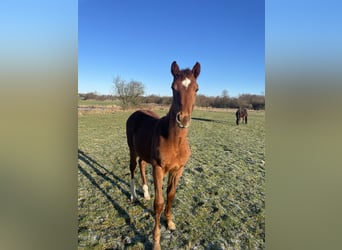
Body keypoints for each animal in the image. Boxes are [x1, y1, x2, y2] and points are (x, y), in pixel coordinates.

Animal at [125, 61, 200, 250]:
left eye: (196, 88)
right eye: (173, 87)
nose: (183, 119)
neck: (174, 141)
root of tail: (136, 112)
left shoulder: (178, 169)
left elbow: (171, 195)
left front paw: (170, 222)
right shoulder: (158, 169)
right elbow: (158, 203)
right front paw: (156, 241)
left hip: (144, 153)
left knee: (142, 165)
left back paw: (145, 193)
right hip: (132, 150)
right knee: (133, 168)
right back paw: (133, 196)